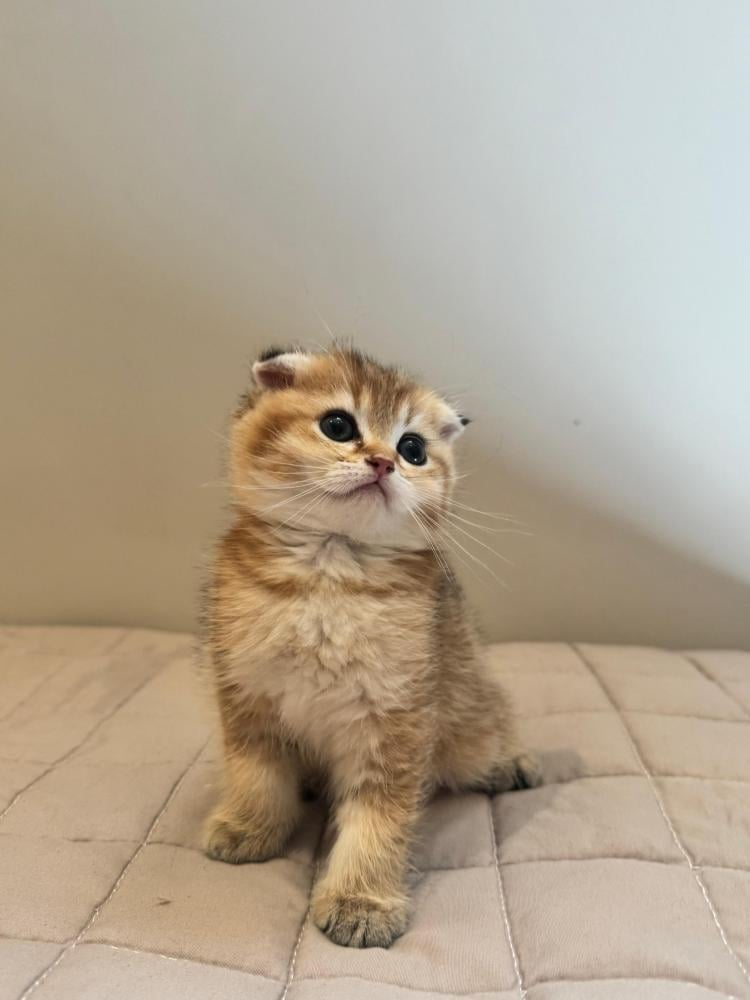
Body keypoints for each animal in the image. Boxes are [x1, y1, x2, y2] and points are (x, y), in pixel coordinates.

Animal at [202, 346, 540, 948]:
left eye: (413, 449)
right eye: (338, 426)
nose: (384, 462)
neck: (330, 576)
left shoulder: (395, 718)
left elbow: (379, 817)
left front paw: (361, 899)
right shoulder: (247, 694)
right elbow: (255, 773)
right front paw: (250, 826)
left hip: (470, 718)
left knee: (489, 726)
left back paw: (510, 763)